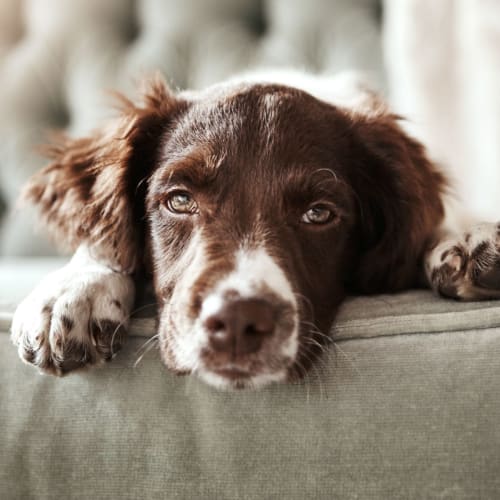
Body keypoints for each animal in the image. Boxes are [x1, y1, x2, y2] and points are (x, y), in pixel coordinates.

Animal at [10, 71, 500, 390]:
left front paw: (465, 240)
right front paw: (73, 291)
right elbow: (102, 240)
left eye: (319, 213)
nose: (238, 320)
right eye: (179, 200)